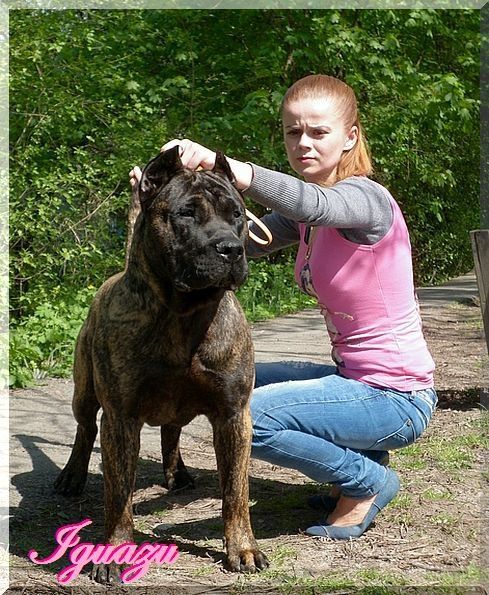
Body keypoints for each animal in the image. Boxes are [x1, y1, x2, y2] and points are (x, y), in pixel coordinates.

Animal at [55, 147, 268, 584]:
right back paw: (72, 475)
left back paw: (177, 472)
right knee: (85, 429)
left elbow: (235, 492)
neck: (184, 314)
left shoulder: (233, 415)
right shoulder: (121, 419)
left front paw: (242, 548)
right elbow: (118, 496)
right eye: (186, 213)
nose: (230, 248)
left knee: (172, 430)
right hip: (84, 391)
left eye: (237, 214)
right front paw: (115, 551)